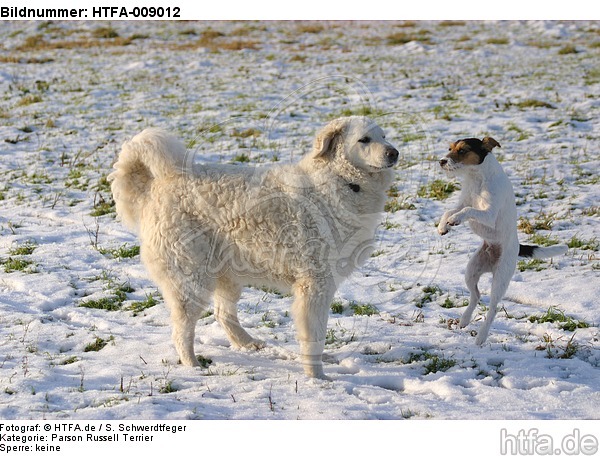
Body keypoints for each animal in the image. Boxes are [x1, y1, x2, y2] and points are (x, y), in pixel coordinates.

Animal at [109, 116, 398, 378]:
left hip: (226, 274)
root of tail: (160, 183)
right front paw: (317, 377)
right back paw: (193, 366)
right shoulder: (315, 285)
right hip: (191, 279)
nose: (394, 153)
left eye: (384, 136)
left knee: (222, 314)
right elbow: (314, 335)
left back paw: (247, 343)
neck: (340, 182)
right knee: (182, 329)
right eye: (364, 140)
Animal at [436, 137, 568, 344]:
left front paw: (455, 220)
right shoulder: (463, 201)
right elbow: (449, 210)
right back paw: (465, 319)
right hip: (472, 270)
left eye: (463, 150)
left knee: (493, 308)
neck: (477, 178)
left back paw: (481, 337)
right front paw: (443, 226)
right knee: (476, 295)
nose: (441, 161)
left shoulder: (488, 214)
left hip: (500, 280)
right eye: (450, 148)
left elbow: (467, 211)